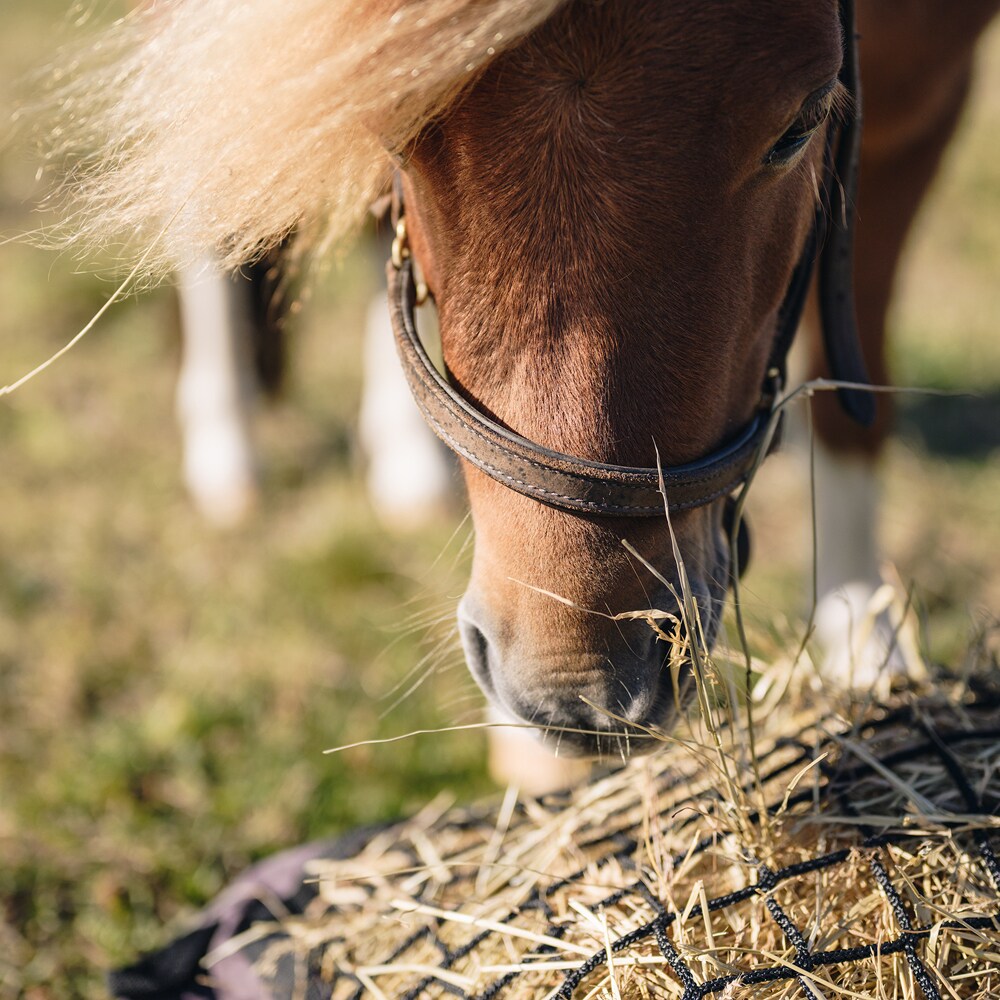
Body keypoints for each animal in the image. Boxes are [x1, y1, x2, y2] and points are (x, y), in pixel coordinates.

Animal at [52, 1, 1000, 756]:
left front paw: (862, 637)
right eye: (395, 132)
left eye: (798, 130)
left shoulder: (923, 105)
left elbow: (855, 395)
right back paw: (229, 445)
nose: (573, 685)